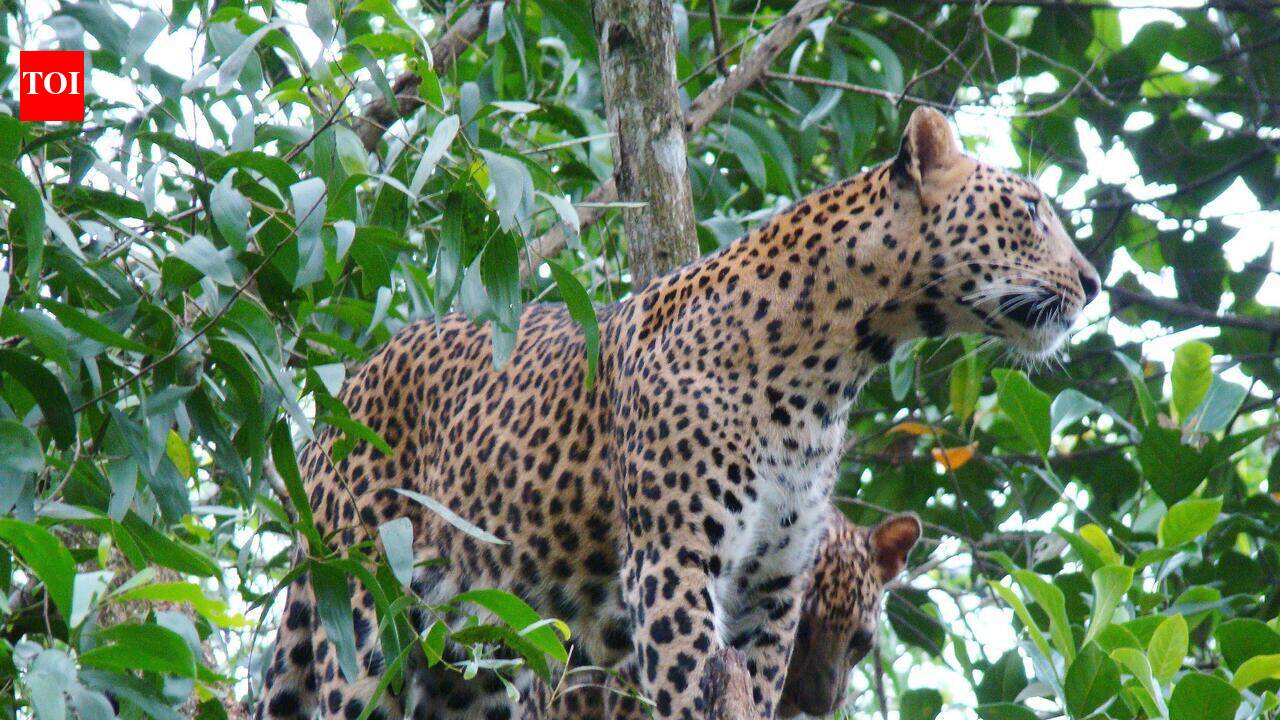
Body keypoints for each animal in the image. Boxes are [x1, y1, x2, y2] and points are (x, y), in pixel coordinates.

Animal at [255, 106, 1100, 720]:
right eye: (1031, 210)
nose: (1094, 282)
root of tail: (338, 399)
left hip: (474, 664)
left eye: (861, 644)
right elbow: (688, 688)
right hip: (366, 614)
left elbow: (753, 684)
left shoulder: (771, 586)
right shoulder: (672, 561)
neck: (835, 367)